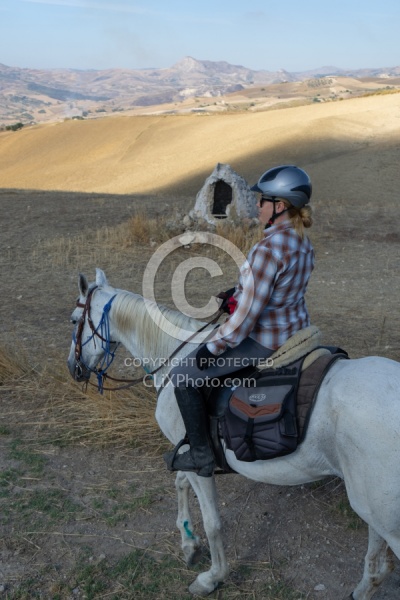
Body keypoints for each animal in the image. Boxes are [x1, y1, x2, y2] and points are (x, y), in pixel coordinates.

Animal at [67, 270, 400, 596]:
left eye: (73, 320)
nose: (73, 368)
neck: (175, 358)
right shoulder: (186, 451)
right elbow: (179, 483)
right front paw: (188, 543)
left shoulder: (198, 462)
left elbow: (212, 521)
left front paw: (212, 577)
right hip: (370, 504)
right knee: (376, 559)